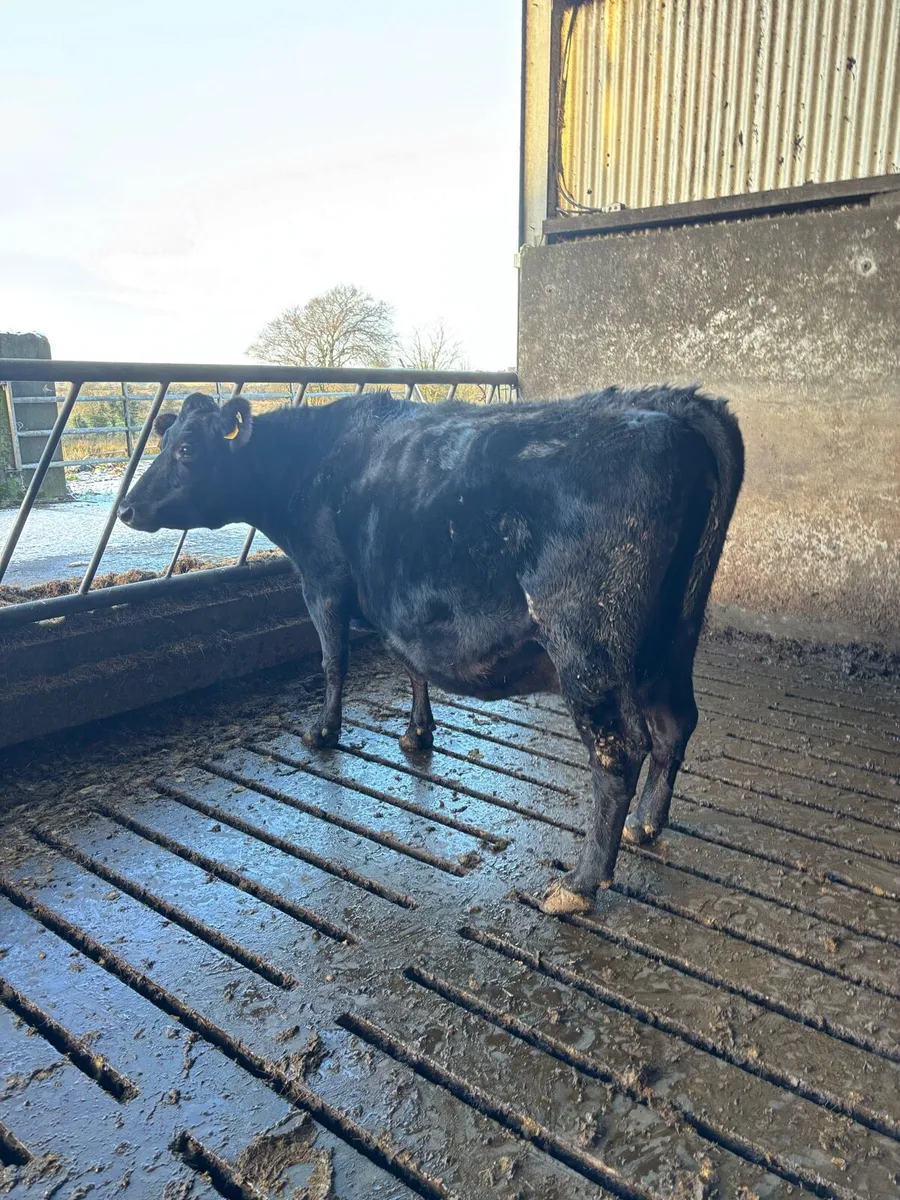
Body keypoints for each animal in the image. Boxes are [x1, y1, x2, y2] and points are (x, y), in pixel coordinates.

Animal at [119, 386, 743, 914]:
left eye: (187, 450)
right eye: (166, 443)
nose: (126, 507)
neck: (309, 465)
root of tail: (674, 406)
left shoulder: (322, 582)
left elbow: (332, 662)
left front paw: (323, 732)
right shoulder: (397, 604)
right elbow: (409, 664)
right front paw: (417, 733)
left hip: (588, 643)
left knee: (619, 751)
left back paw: (580, 884)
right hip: (672, 635)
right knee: (674, 725)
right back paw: (646, 824)